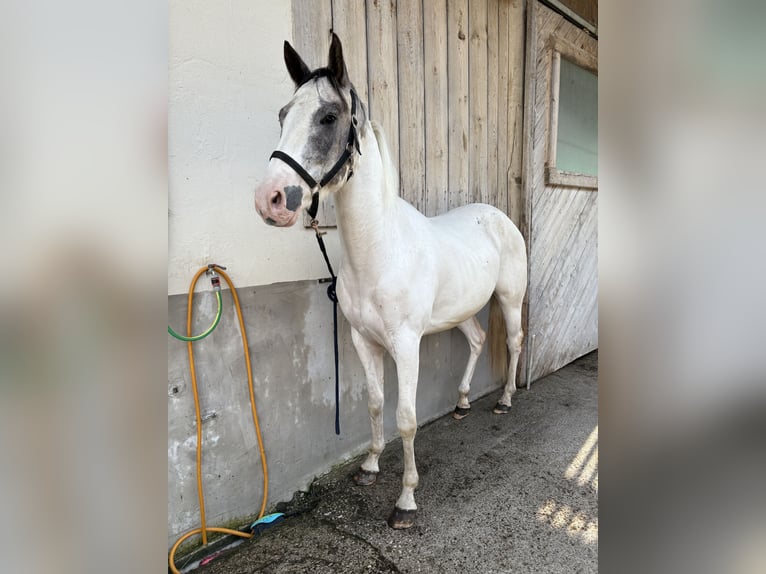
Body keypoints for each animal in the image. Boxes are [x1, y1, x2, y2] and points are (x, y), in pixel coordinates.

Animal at [254, 33, 527, 529]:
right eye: (284, 115)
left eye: (328, 116)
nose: (271, 199)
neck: (380, 251)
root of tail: (499, 217)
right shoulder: (364, 341)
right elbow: (376, 403)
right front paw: (369, 466)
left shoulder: (406, 344)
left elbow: (406, 417)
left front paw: (405, 501)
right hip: (461, 311)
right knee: (478, 340)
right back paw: (462, 403)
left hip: (510, 299)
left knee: (514, 341)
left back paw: (505, 399)